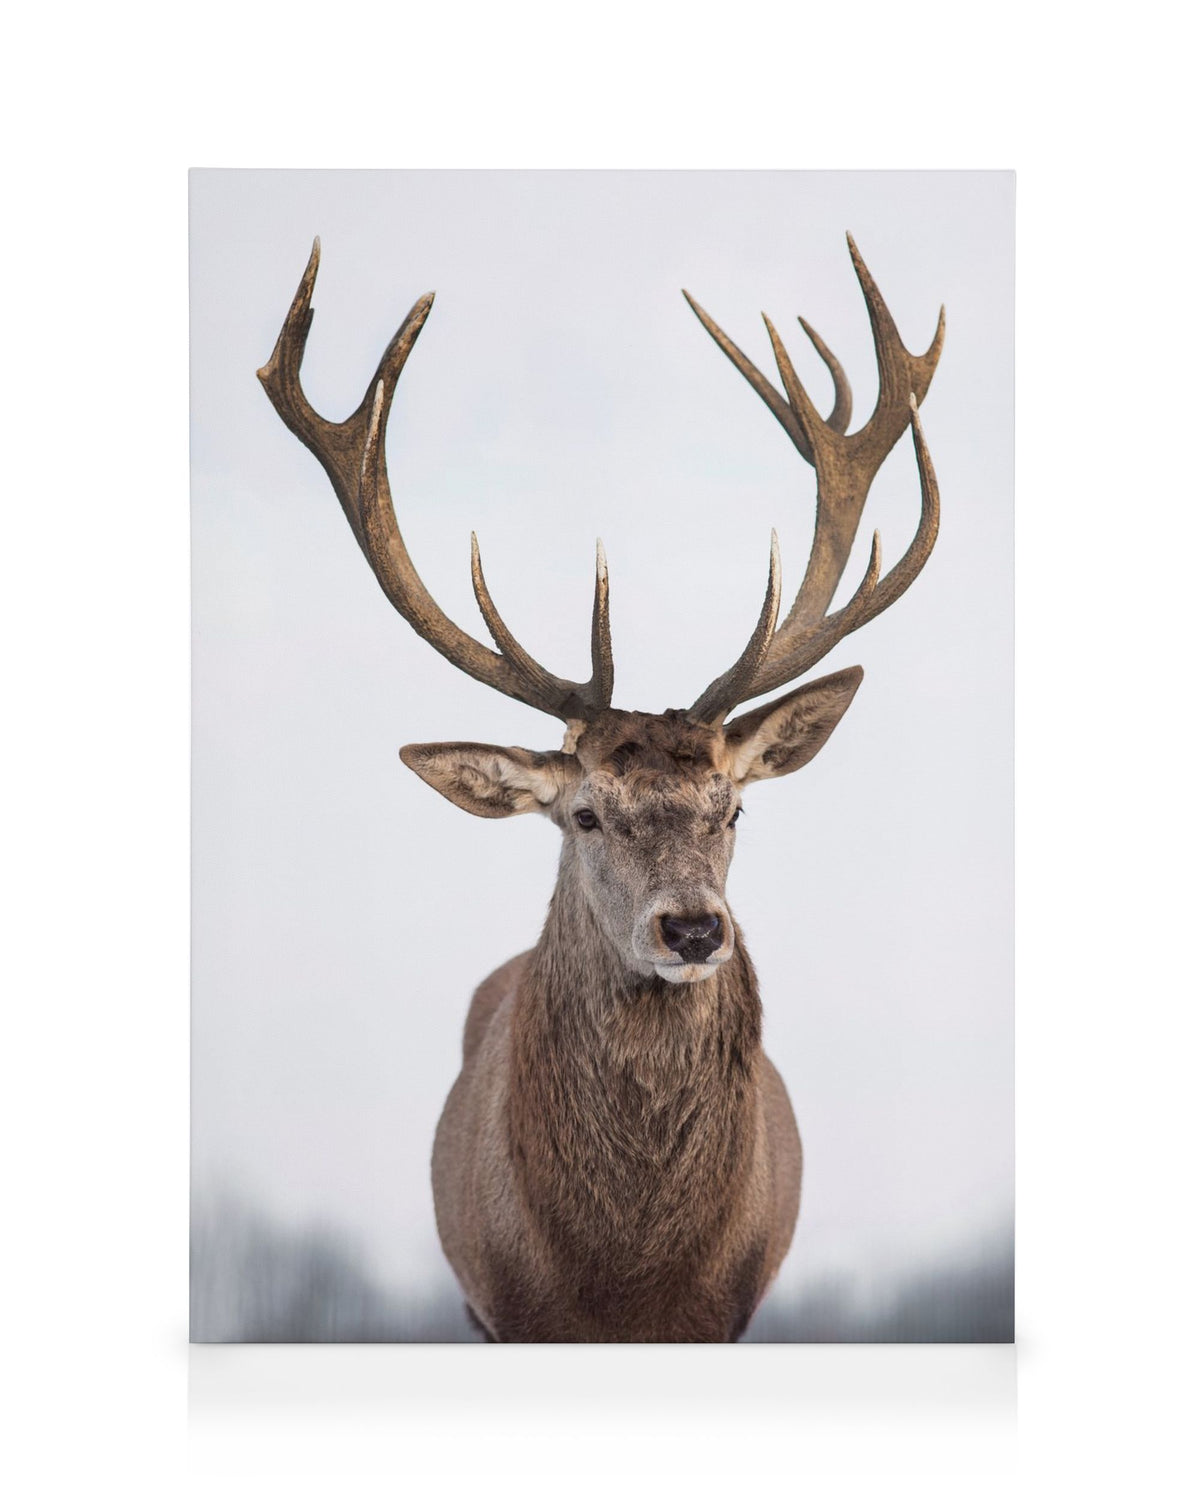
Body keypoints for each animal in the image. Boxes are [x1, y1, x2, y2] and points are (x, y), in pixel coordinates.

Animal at [257, 234, 943, 1342]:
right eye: (584, 814)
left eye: (734, 809)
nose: (693, 928)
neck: (624, 1281)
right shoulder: (506, 1306)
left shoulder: (729, 1311)